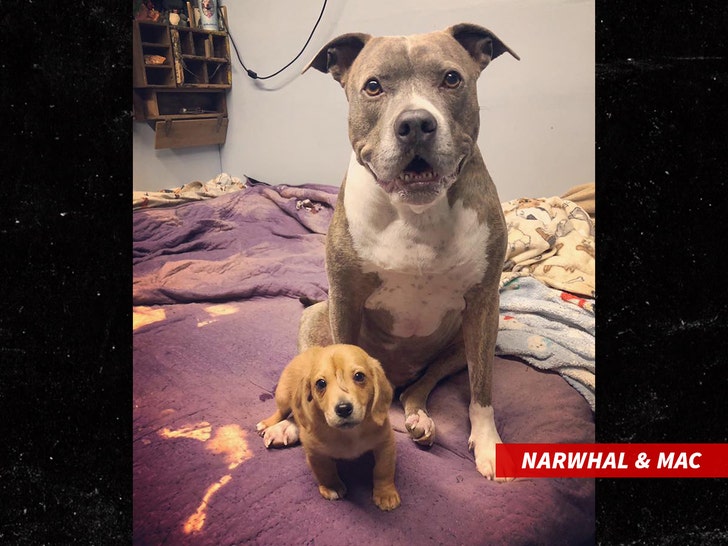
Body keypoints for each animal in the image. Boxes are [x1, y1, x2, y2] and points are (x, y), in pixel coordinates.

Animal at [256, 344, 400, 511]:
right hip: (283, 397)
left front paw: (385, 494)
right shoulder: (315, 452)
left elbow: (383, 469)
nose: (343, 409)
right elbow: (325, 470)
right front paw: (332, 486)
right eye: (321, 383)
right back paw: (269, 424)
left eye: (359, 376)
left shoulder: (386, 443)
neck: (350, 434)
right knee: (282, 412)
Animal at [294, 24, 520, 480]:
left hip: (463, 341)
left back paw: (419, 420)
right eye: (373, 86)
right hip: (315, 318)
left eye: (451, 78)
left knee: (419, 388)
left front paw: (488, 444)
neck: (416, 212)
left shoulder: (484, 304)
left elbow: (482, 389)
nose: (415, 123)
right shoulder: (344, 297)